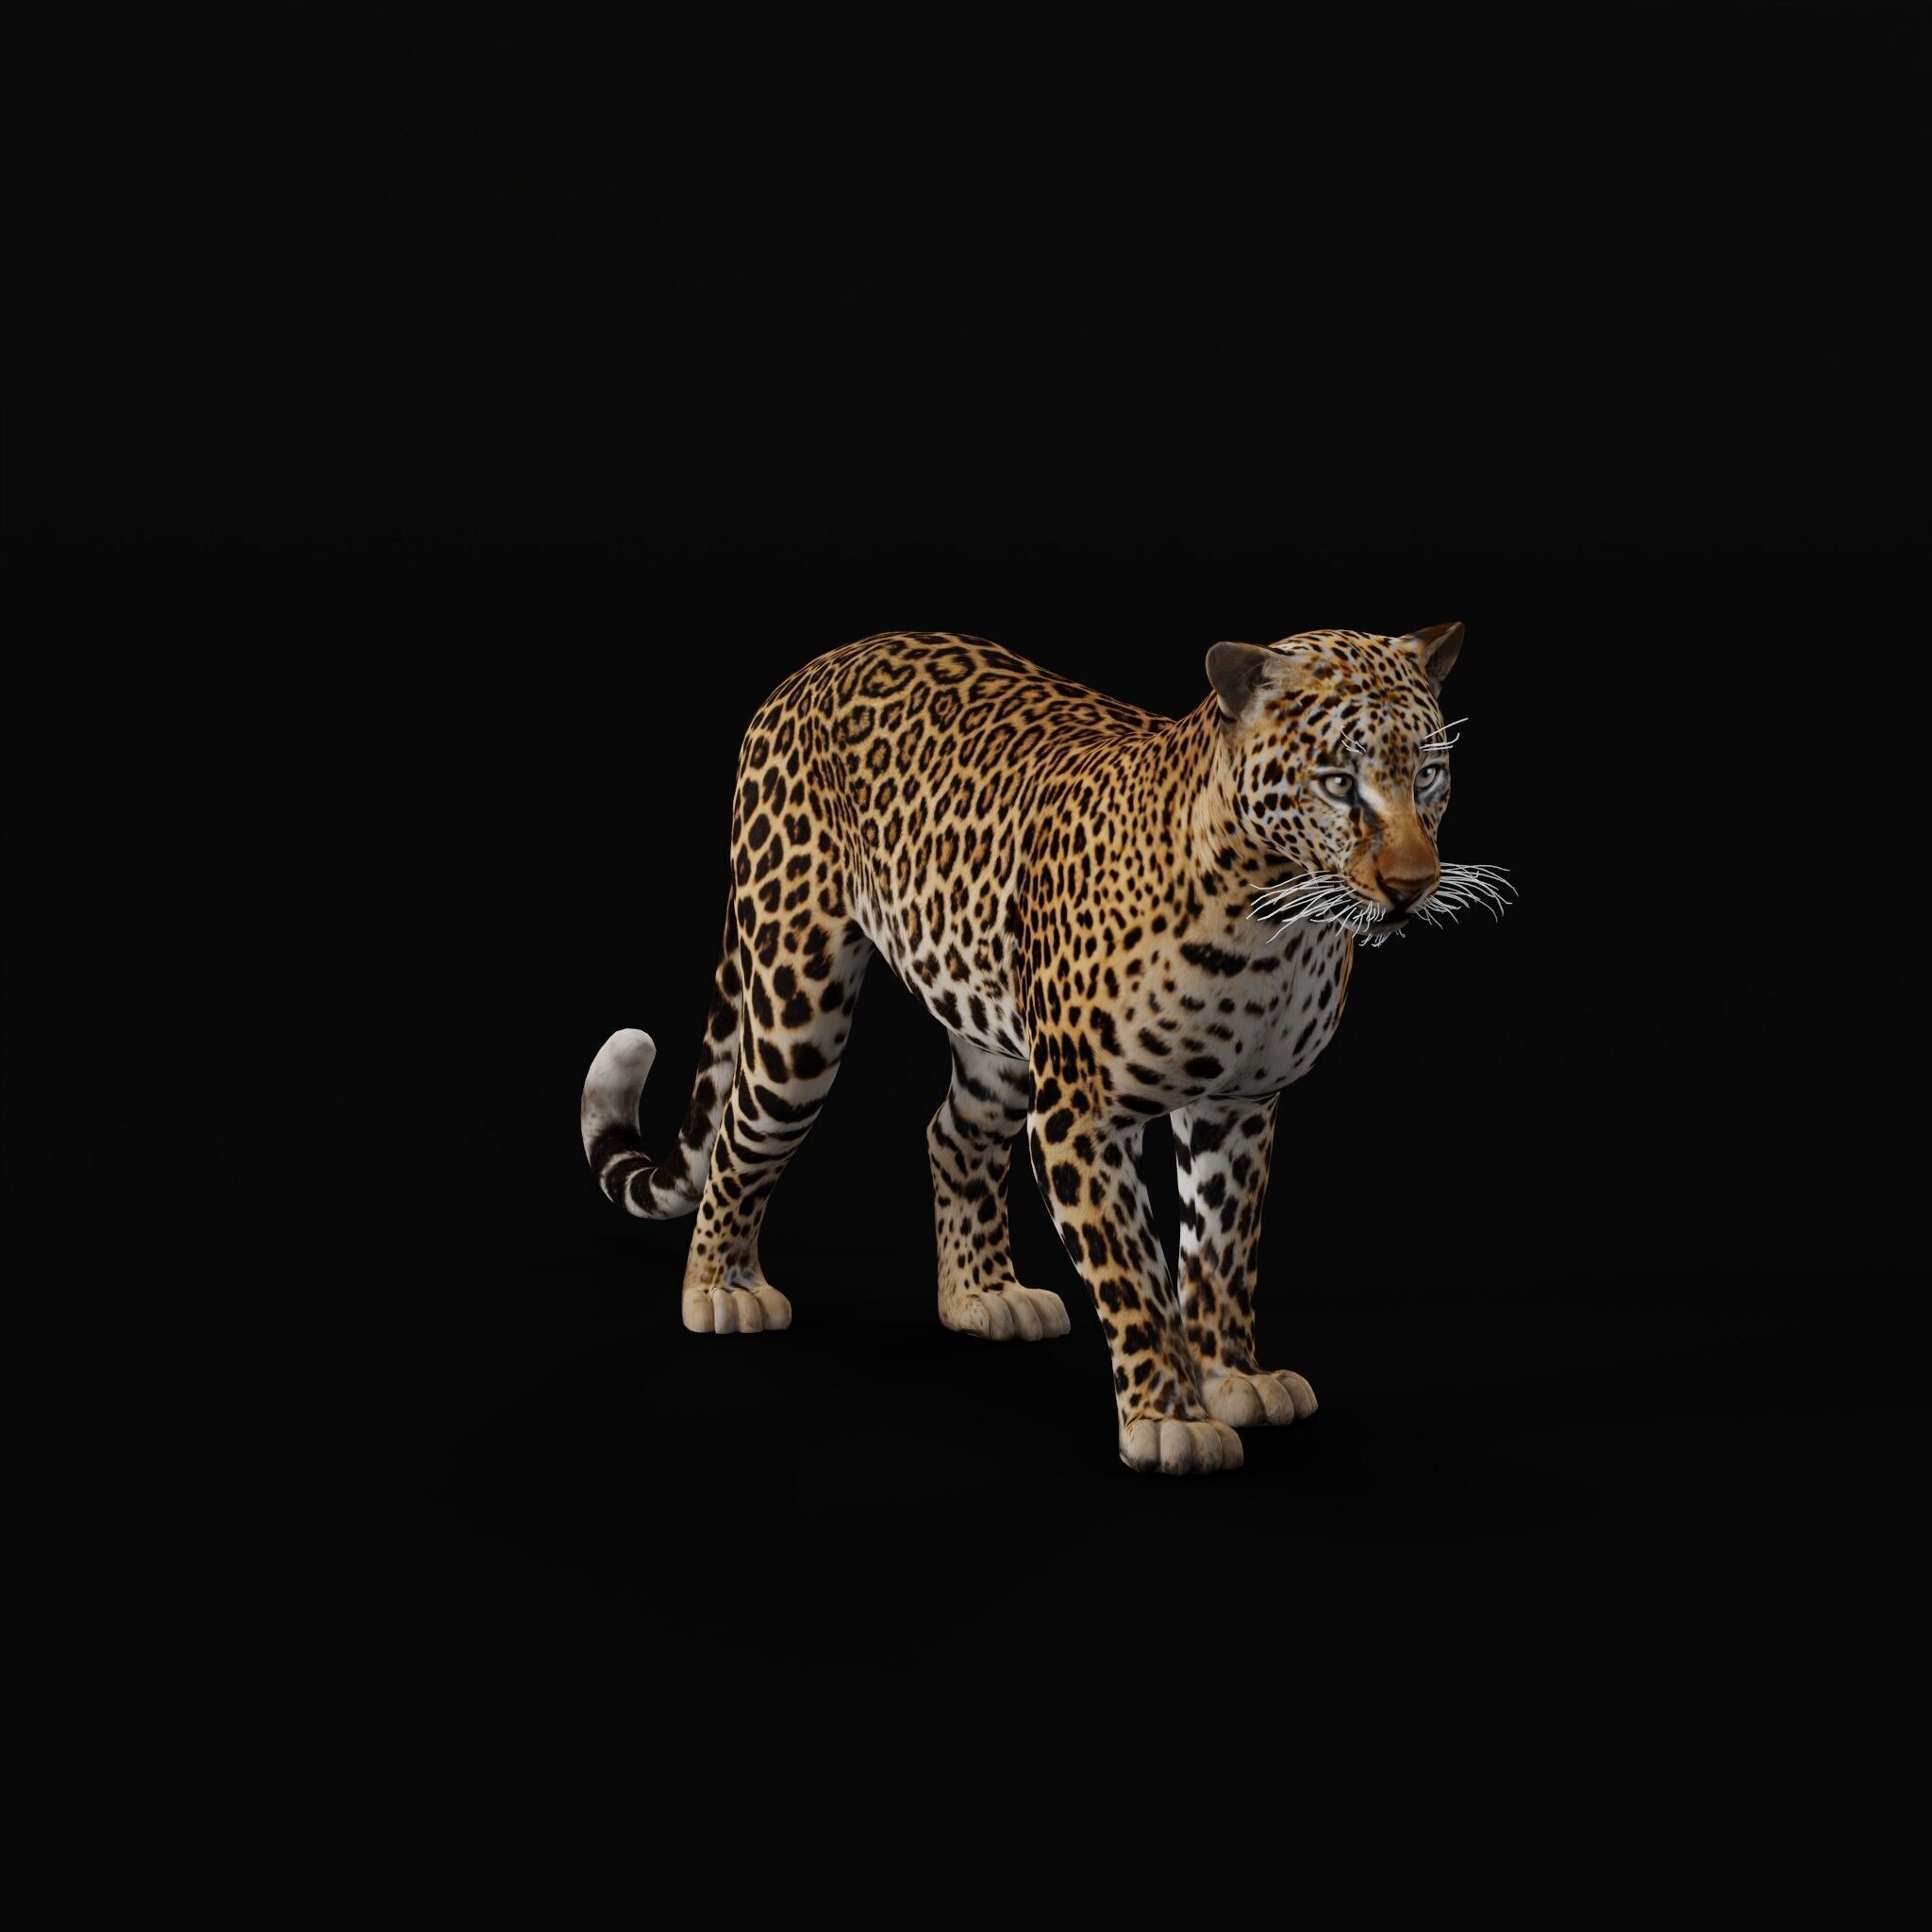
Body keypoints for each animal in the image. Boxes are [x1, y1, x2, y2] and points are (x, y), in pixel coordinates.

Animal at [579, 623, 1508, 1474]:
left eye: (1429, 773)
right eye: (1339, 782)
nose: (1412, 886)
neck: (1279, 924)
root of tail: (812, 667)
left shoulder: (1238, 1109)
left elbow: (1220, 1254)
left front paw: (1235, 1377)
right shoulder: (1083, 1117)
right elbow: (1136, 1275)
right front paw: (1168, 1419)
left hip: (995, 1039)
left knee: (950, 1134)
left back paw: (983, 1295)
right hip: (795, 1001)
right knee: (743, 1133)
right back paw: (720, 1288)